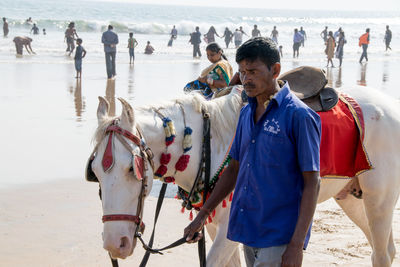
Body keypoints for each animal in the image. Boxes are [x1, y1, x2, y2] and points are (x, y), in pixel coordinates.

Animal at [90, 86, 400, 267]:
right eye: (95, 174)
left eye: (131, 169)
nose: (113, 244)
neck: (208, 142)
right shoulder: (214, 225)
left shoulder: (230, 229)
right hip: (352, 199)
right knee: (384, 248)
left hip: (379, 201)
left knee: (381, 254)